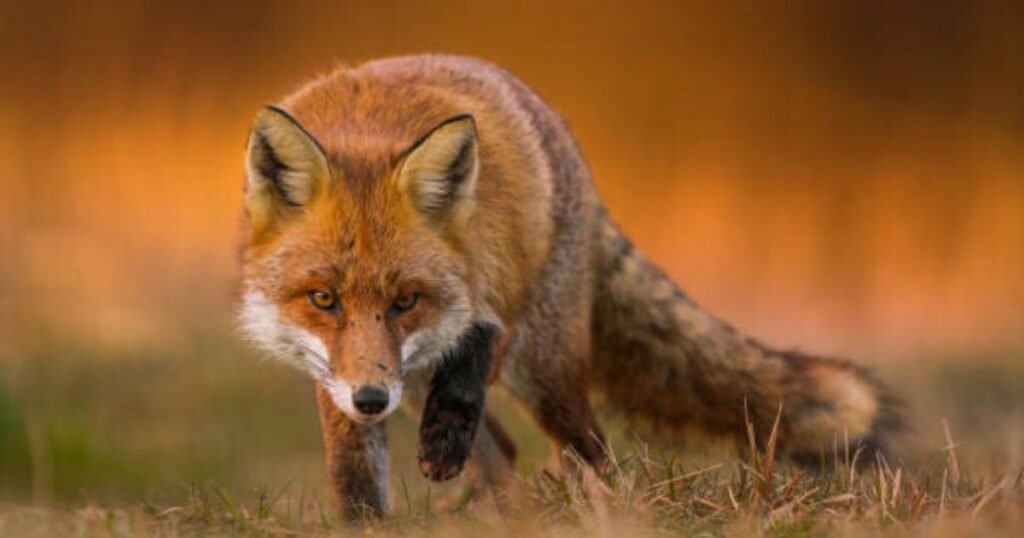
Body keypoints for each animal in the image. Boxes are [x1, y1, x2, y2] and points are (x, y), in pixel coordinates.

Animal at [237, 54, 901, 519]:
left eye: (407, 301)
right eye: (324, 299)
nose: (373, 399)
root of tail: (564, 134)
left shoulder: (493, 295)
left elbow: (474, 354)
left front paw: (446, 436)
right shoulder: (336, 374)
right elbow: (355, 480)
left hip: (547, 374)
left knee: (590, 452)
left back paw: (596, 512)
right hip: (429, 379)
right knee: (504, 453)